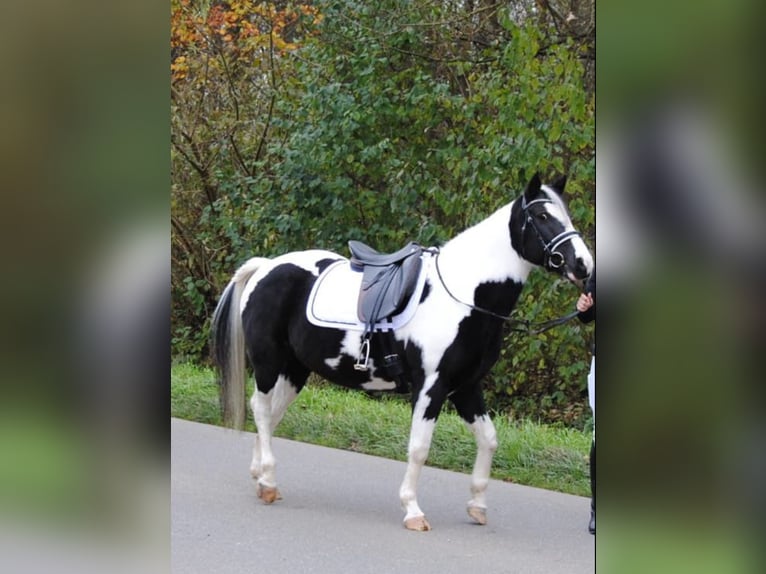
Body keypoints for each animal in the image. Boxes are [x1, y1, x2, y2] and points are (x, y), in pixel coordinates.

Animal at [211, 173, 594, 531]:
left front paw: (477, 505)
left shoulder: (467, 388)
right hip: (269, 363)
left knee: (272, 415)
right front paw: (412, 510)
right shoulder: (430, 388)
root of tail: (265, 266)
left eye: (567, 213)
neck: (464, 297)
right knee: (261, 410)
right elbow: (419, 448)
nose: (584, 266)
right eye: (542, 215)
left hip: (295, 370)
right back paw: (268, 480)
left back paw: (261, 478)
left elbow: (489, 440)